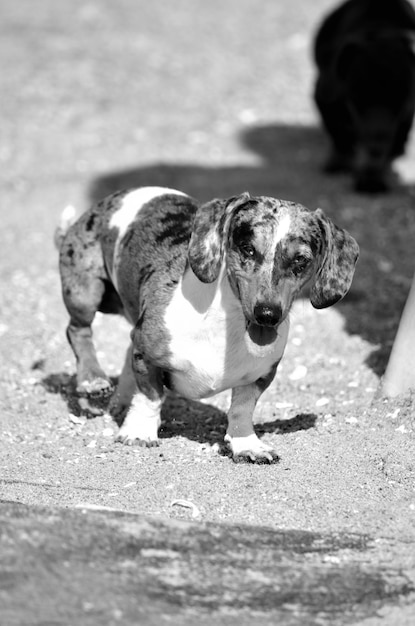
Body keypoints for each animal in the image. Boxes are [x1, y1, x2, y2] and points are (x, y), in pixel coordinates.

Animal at [316, 0, 415, 191]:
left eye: (400, 106)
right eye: (356, 101)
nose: (376, 145)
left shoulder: (405, 115)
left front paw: (372, 179)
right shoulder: (325, 97)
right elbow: (339, 136)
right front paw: (340, 162)